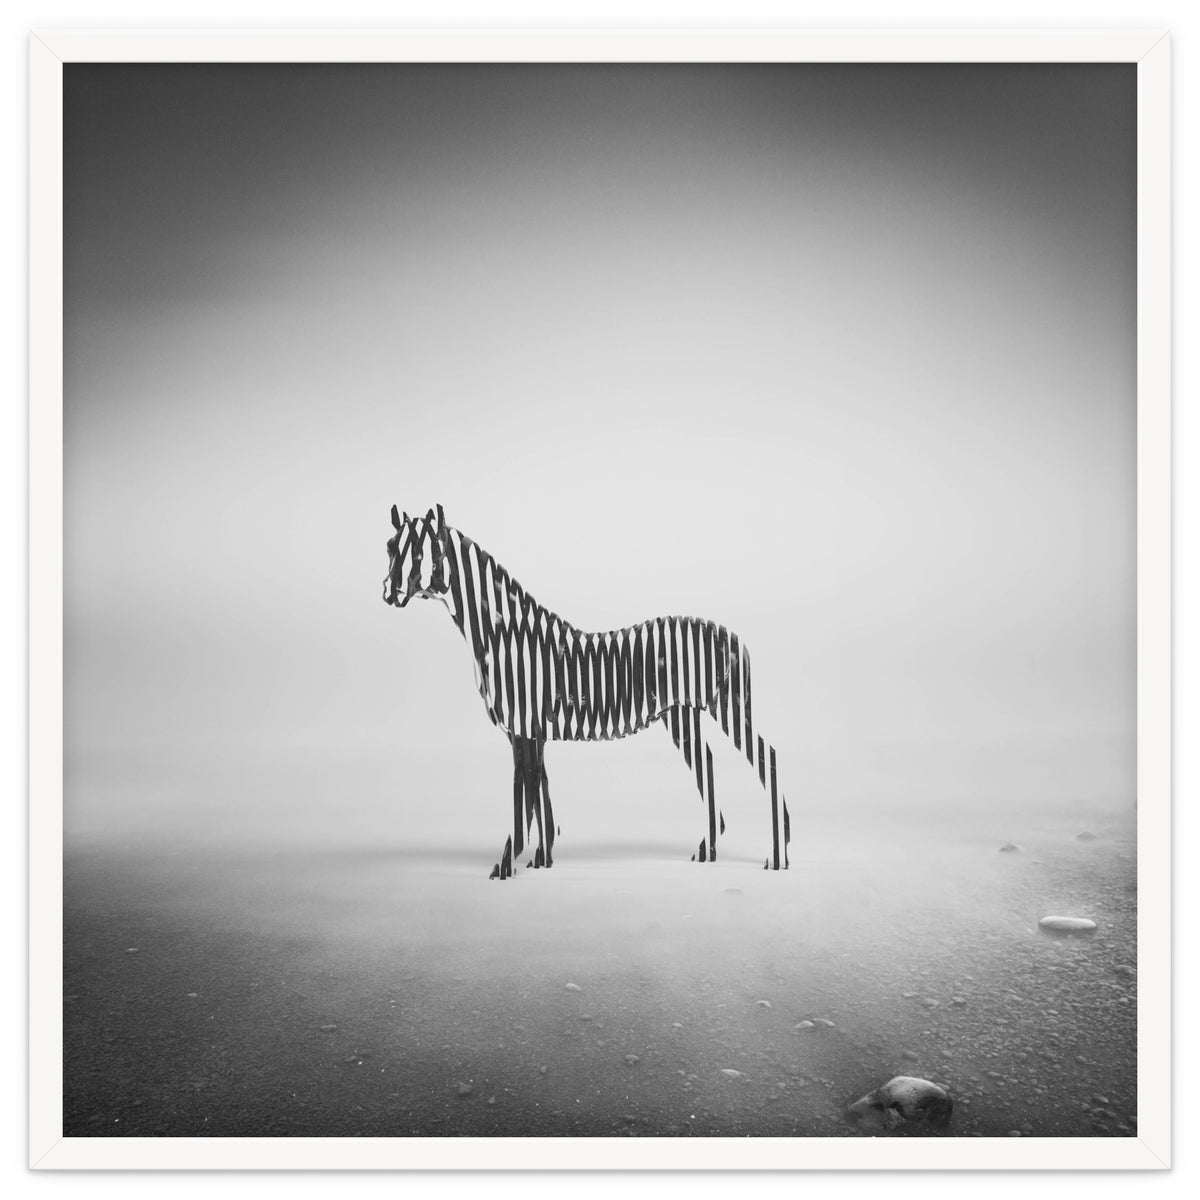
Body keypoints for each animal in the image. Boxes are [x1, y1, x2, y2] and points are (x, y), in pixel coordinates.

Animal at [383, 504, 791, 878]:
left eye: (422, 553)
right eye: (389, 547)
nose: (389, 592)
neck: (507, 637)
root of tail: (733, 636)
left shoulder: (523, 727)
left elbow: (524, 798)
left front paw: (507, 865)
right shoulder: (531, 731)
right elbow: (540, 794)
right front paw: (542, 859)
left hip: (727, 707)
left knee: (767, 758)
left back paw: (777, 856)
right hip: (682, 715)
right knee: (707, 763)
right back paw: (708, 851)